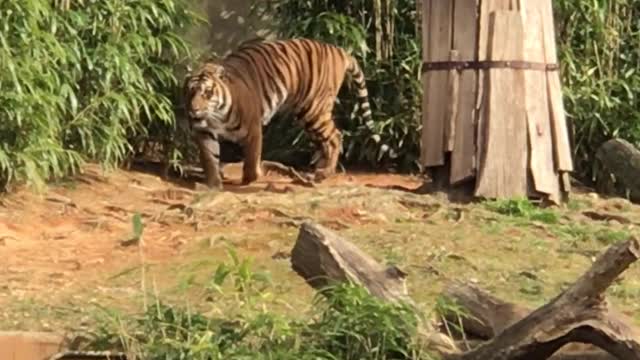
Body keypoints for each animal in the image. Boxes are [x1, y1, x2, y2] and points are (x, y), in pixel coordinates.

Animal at [182, 36, 372, 188]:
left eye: (207, 92)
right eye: (191, 91)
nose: (193, 109)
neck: (215, 116)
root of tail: (337, 50)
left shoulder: (252, 128)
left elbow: (251, 158)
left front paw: (250, 179)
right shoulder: (204, 132)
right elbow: (209, 159)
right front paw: (213, 184)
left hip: (313, 109)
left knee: (335, 136)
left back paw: (324, 173)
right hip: (306, 115)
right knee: (324, 142)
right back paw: (314, 172)